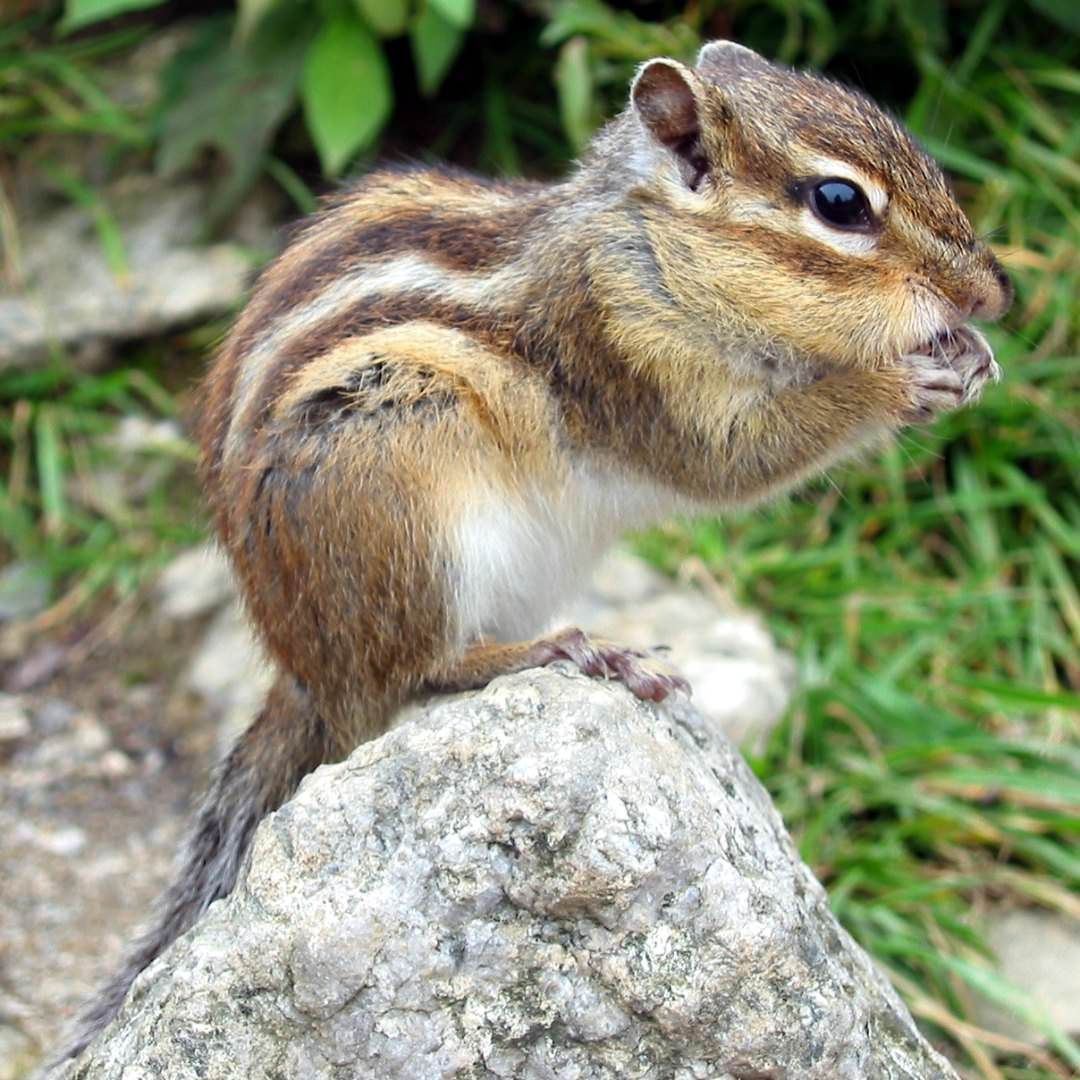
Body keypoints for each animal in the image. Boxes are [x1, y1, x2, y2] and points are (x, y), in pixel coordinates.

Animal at [60, 40, 1010, 1061]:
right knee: (414, 674)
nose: (995, 291)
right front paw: (900, 380)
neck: (653, 252)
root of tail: (305, 670)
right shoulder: (623, 353)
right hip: (404, 482)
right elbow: (736, 457)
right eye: (840, 204)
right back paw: (563, 651)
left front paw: (972, 353)